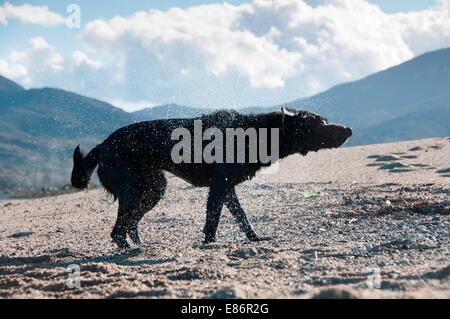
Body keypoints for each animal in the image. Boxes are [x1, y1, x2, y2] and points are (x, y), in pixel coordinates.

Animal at [71, 109, 352, 249]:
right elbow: (213, 220)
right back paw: (131, 249)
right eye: (318, 123)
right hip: (135, 190)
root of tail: (102, 145)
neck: (257, 134)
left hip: (154, 188)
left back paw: (142, 245)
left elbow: (241, 217)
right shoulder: (218, 187)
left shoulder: (227, 189)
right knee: (119, 230)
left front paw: (254, 239)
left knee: (130, 224)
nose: (348, 129)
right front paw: (210, 243)